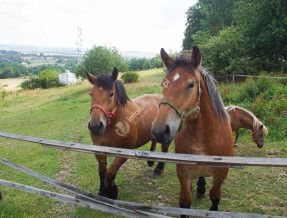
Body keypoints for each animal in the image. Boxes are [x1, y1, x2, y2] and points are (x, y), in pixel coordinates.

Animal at [86, 68, 170, 199]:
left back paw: (158, 169)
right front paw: (103, 191)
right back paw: (150, 161)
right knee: (153, 141)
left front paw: (112, 191)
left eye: (111, 94)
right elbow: (102, 172)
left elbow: (110, 173)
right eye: (91, 94)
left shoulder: (124, 152)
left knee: (164, 149)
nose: (95, 126)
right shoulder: (99, 150)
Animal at [152, 46, 235, 216]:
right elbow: (185, 202)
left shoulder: (221, 175)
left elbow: (215, 197)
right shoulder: (183, 173)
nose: (159, 130)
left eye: (191, 84)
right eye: (164, 84)